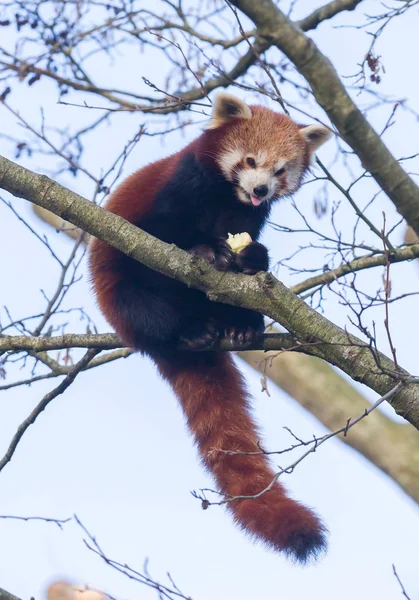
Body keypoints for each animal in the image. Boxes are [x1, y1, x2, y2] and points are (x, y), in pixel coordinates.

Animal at [88, 94, 332, 564]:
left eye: (280, 171)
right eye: (250, 160)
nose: (260, 190)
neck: (226, 198)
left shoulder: (247, 217)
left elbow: (249, 248)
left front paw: (251, 256)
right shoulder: (178, 188)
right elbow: (160, 231)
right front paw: (205, 249)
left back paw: (240, 327)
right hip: (120, 298)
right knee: (145, 306)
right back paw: (189, 331)